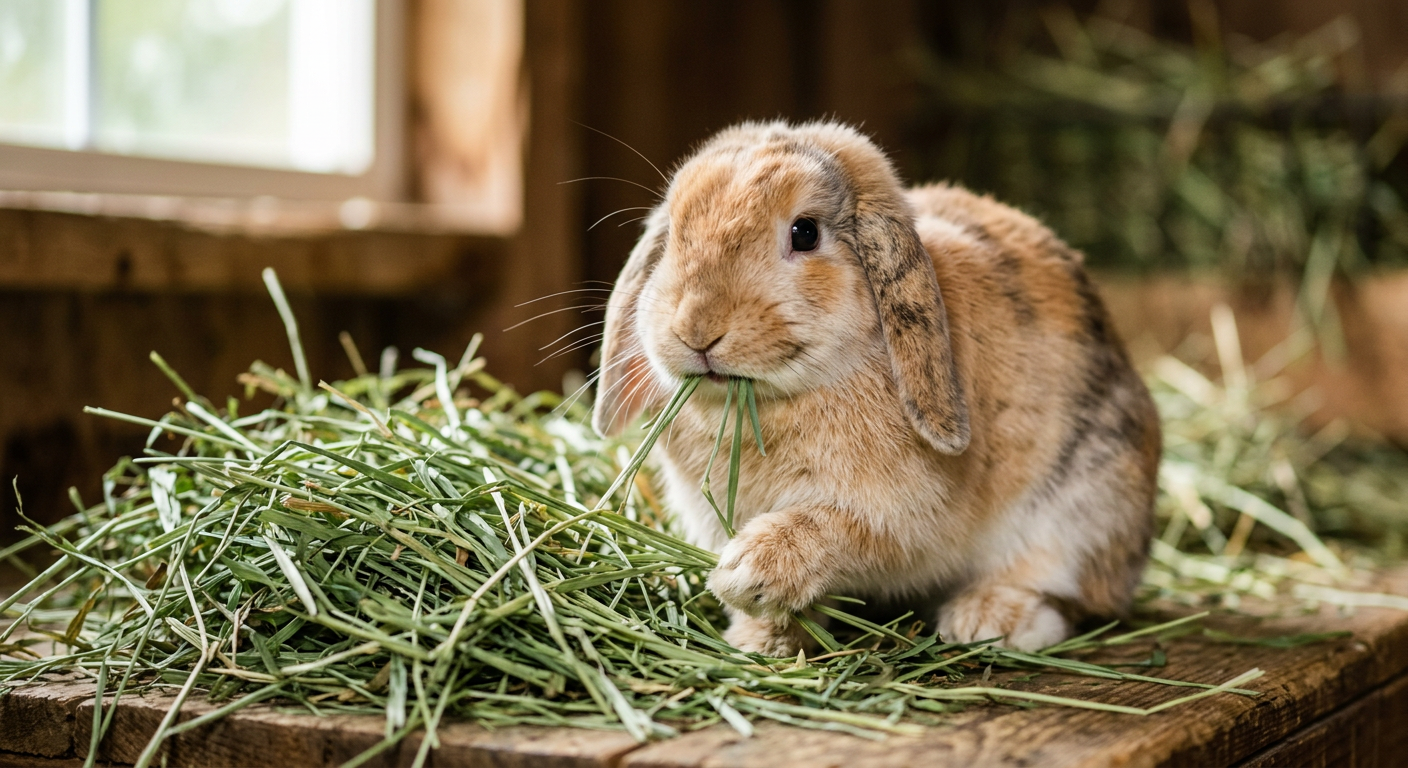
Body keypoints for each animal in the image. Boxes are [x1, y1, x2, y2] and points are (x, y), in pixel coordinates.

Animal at [591, 120, 1160, 655]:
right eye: (674, 231)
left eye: (804, 232)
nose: (696, 328)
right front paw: (762, 636)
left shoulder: (897, 517)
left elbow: (834, 531)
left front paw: (746, 574)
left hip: (1084, 506)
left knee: (1066, 594)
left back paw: (988, 620)